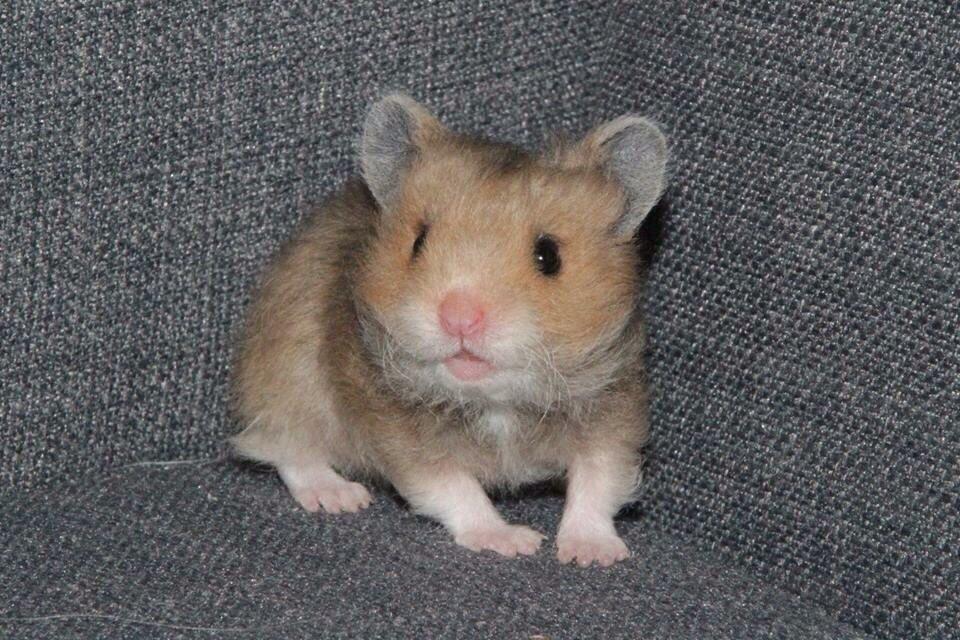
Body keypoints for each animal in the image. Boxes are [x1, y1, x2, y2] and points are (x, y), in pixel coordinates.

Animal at [231, 93, 668, 567]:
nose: (459, 317)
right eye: (419, 240)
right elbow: (457, 488)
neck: (496, 405)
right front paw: (514, 541)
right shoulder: (405, 440)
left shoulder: (613, 412)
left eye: (548, 256)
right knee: (290, 449)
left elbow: (597, 481)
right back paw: (343, 497)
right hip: (288, 382)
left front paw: (591, 554)